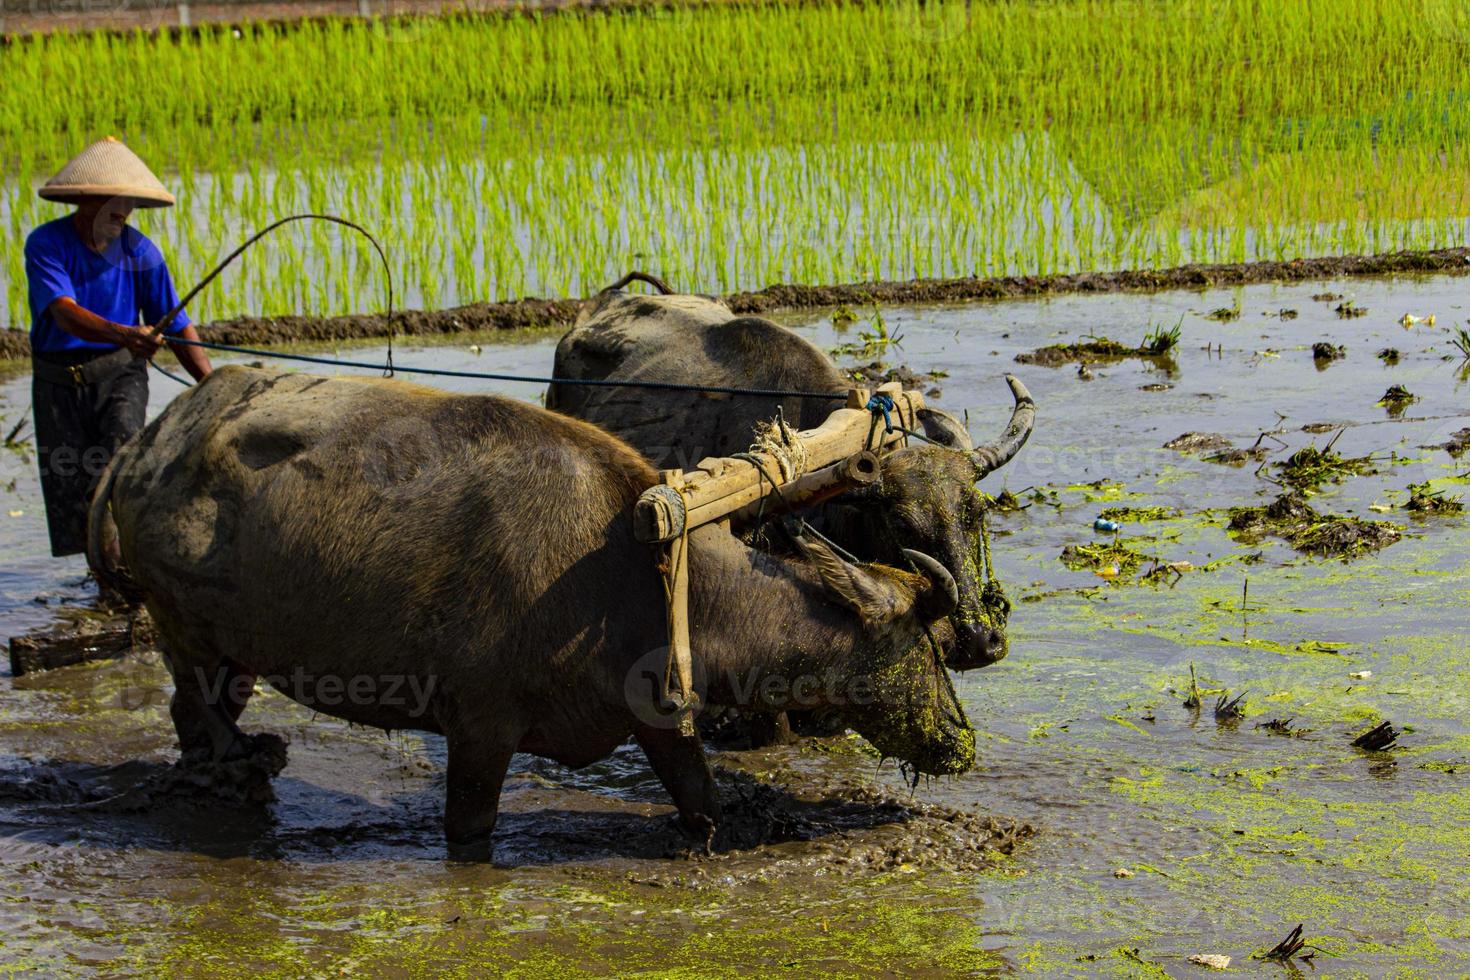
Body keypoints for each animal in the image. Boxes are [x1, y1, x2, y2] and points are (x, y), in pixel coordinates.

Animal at [88, 364, 964, 852]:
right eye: (925, 643)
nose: (961, 741)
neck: (630, 575)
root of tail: (145, 447)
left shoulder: (658, 718)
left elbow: (701, 798)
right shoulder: (478, 729)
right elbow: (471, 830)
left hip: (225, 649)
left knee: (197, 718)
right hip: (184, 633)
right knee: (197, 711)